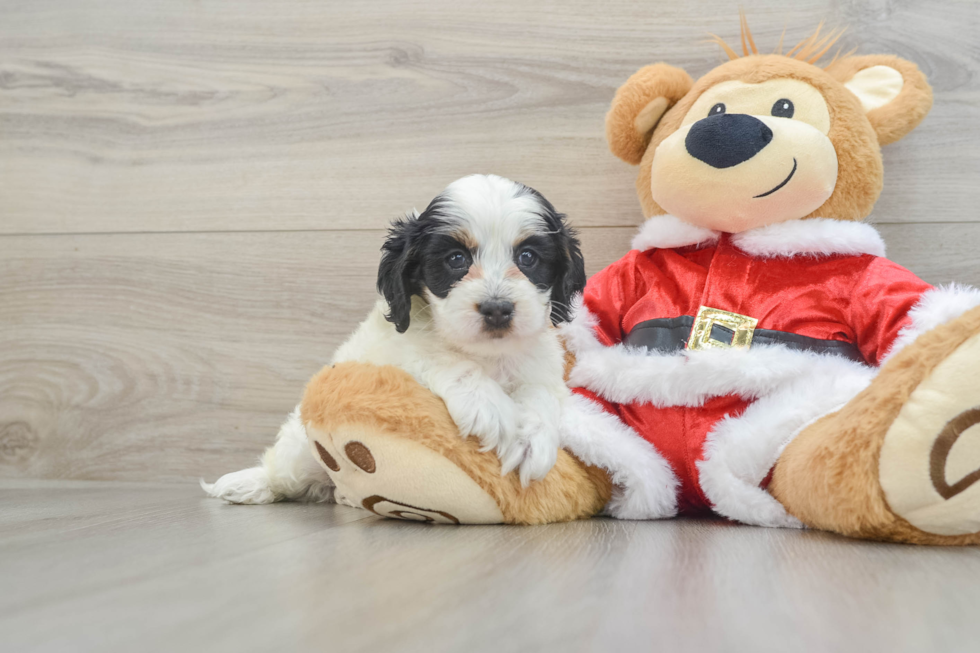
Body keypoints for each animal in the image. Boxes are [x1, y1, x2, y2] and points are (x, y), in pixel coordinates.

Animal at [199, 174, 580, 504]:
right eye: (456, 259)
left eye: (527, 257)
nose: (497, 309)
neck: (488, 354)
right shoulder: (397, 349)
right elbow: (442, 358)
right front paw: (489, 406)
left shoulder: (539, 365)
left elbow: (540, 394)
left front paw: (531, 439)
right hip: (299, 447)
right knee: (286, 472)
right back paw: (249, 484)